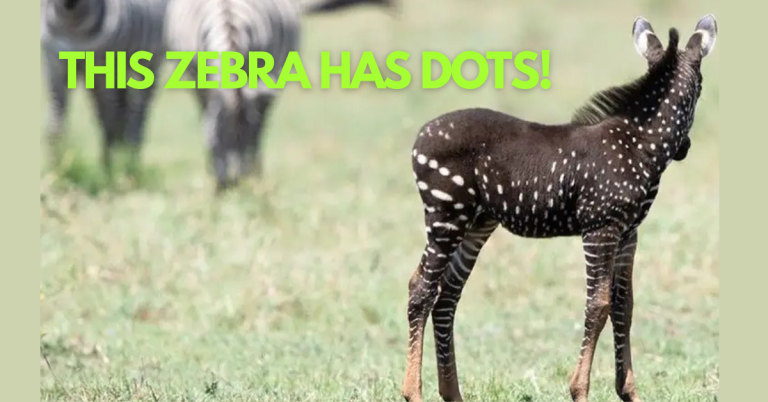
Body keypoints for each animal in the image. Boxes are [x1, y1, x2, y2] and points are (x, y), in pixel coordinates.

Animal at [41, 0, 169, 175]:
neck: (73, 20)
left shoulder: (103, 68)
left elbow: (110, 120)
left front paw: (109, 170)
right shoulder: (54, 65)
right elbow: (55, 124)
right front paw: (56, 168)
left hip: (146, 65)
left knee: (136, 116)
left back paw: (130, 163)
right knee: (120, 113)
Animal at [401, 14, 717, 402]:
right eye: (700, 88)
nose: (685, 149)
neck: (639, 145)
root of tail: (421, 134)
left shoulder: (629, 233)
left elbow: (623, 305)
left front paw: (629, 391)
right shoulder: (601, 228)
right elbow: (598, 305)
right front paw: (579, 389)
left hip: (476, 223)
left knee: (446, 295)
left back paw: (453, 394)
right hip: (446, 217)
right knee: (421, 290)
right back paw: (413, 392)